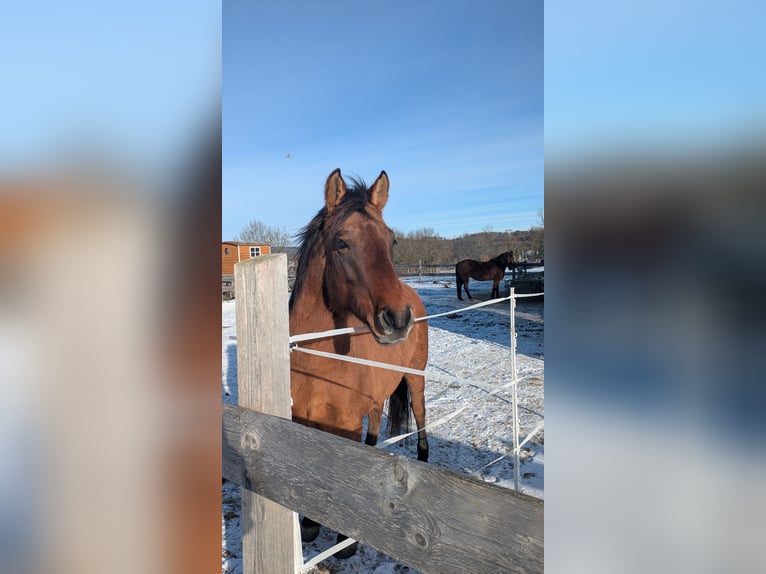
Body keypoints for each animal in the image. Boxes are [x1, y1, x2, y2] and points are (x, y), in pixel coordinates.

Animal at [289, 169, 429, 558]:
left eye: (392, 241)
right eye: (342, 243)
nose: (397, 318)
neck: (318, 362)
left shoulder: (346, 424)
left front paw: (343, 540)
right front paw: (309, 524)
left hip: (417, 378)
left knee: (421, 416)